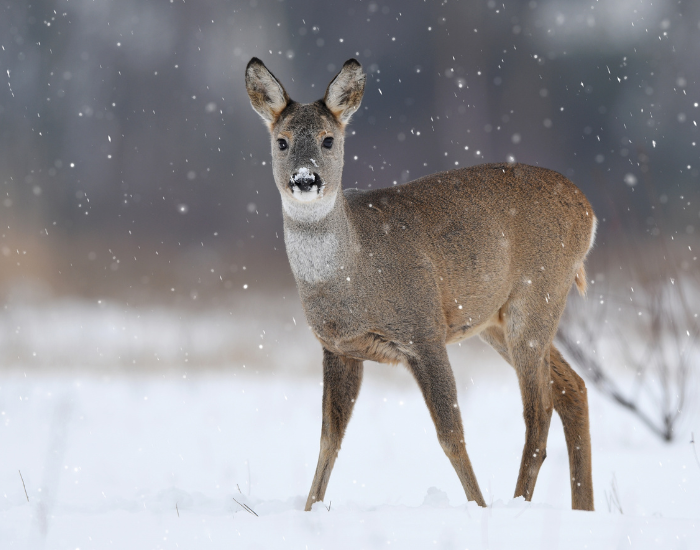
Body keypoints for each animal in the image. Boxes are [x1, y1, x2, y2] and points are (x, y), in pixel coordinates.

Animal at [245, 57, 597, 512]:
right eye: (283, 142)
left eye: (328, 140)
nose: (305, 180)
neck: (350, 277)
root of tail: (588, 211)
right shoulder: (338, 348)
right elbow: (328, 439)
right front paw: (309, 510)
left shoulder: (423, 331)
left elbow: (451, 436)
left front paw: (478, 508)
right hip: (497, 321)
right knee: (574, 388)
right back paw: (583, 508)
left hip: (538, 295)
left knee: (539, 411)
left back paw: (519, 502)